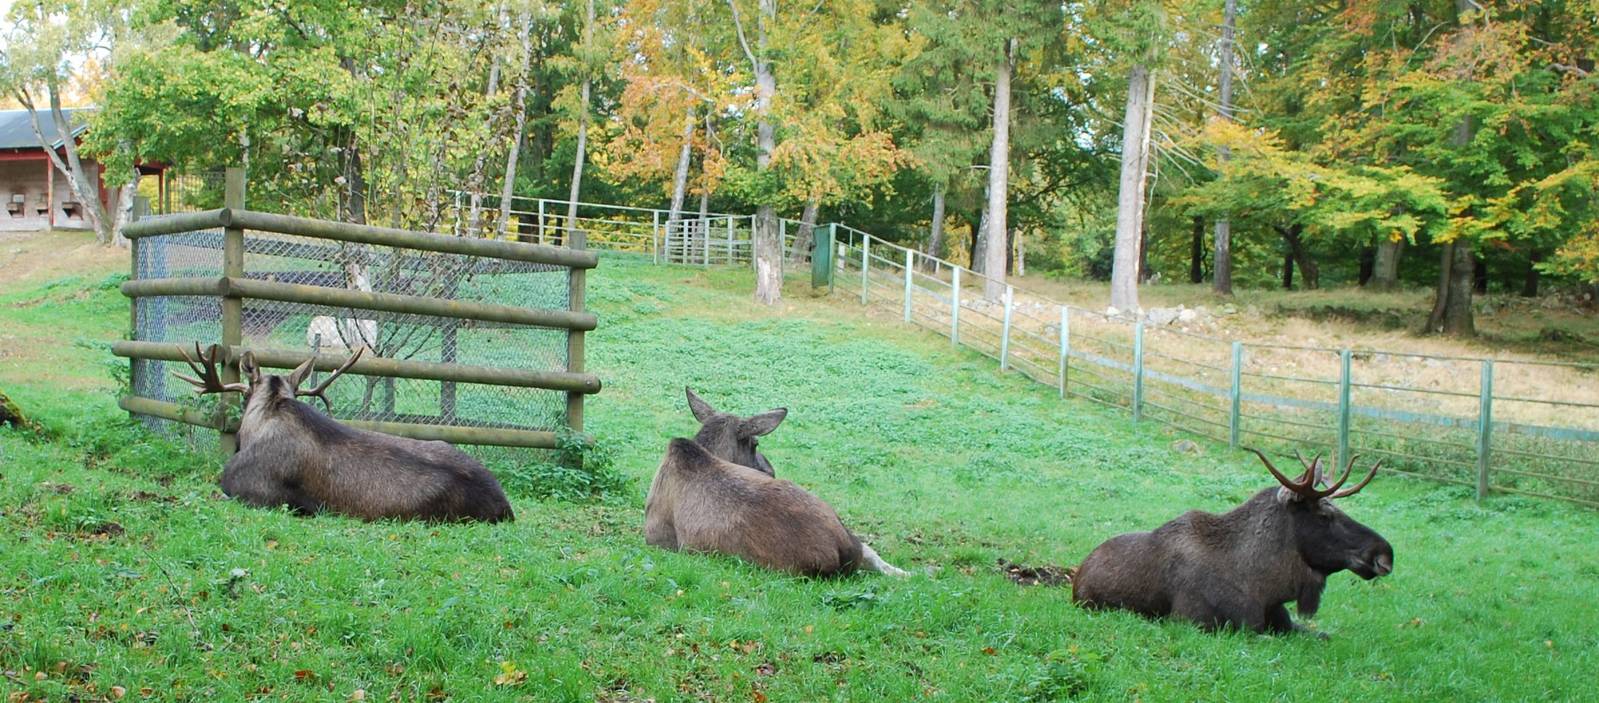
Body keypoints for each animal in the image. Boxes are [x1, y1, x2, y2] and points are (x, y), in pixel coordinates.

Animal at [1071, 448, 1392, 634]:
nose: (1384, 553)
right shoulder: (1194, 622)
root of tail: (1078, 574)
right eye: (1324, 516)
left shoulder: (1284, 622)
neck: (1265, 587)